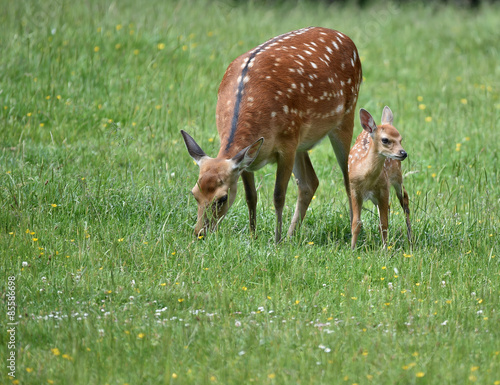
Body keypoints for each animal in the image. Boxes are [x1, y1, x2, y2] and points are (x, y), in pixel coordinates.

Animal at [182, 27, 362, 242]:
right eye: (194, 193)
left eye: (222, 198)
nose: (199, 232)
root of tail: (346, 38)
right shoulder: (249, 157)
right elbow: (251, 196)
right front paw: (253, 235)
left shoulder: (286, 146)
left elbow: (278, 195)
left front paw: (276, 240)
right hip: (300, 137)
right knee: (309, 182)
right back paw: (292, 235)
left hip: (345, 116)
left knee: (346, 178)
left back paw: (353, 232)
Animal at [350, 106, 412, 249]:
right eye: (385, 140)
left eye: (400, 139)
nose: (403, 153)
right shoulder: (354, 189)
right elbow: (356, 223)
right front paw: (352, 248)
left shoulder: (384, 188)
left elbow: (384, 224)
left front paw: (385, 249)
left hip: (397, 176)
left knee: (404, 199)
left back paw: (410, 239)